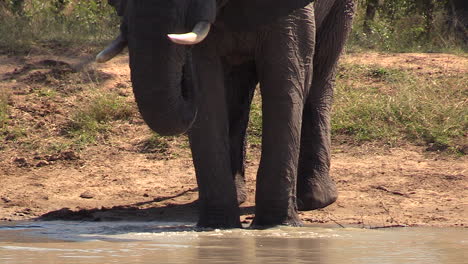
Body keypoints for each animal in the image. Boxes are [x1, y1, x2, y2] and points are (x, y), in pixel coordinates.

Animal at [98, 0, 354, 228]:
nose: (185, 80)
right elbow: (209, 86)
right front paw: (216, 226)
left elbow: (284, 80)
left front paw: (276, 226)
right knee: (236, 92)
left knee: (320, 74)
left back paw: (315, 199)